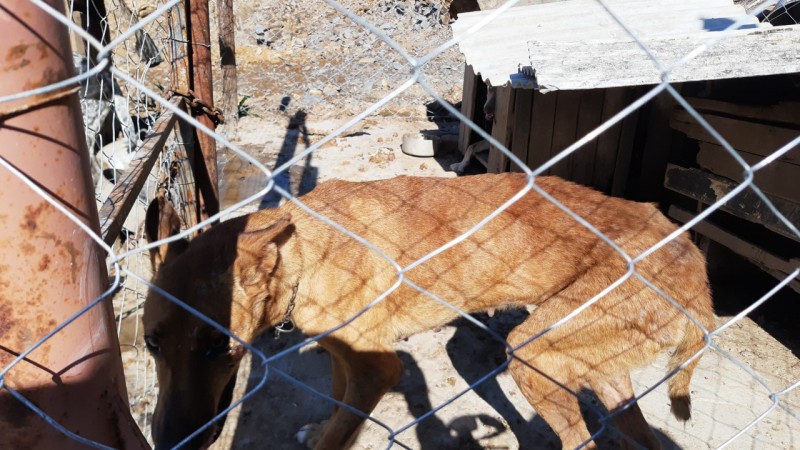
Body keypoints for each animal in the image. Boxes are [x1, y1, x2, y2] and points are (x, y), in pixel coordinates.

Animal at [144, 174, 712, 450]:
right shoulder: (344, 356)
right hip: (603, 375)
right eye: (150, 343)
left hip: (533, 355)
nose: (170, 443)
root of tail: (694, 259)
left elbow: (338, 431)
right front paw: (322, 424)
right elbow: (336, 404)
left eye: (218, 345)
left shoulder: (379, 368)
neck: (306, 252)